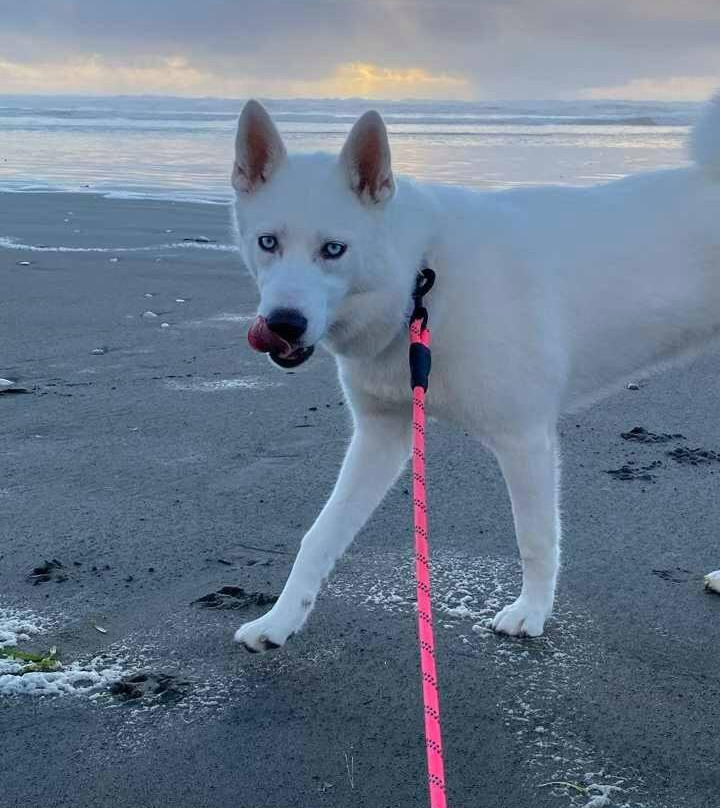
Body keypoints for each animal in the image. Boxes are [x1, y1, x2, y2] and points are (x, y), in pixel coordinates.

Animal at [231, 96, 720, 652]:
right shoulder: (381, 435)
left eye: (334, 249)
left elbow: (534, 538)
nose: (283, 323)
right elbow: (319, 535)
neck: (420, 280)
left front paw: (532, 612)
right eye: (268, 242)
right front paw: (279, 620)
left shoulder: (524, 440)